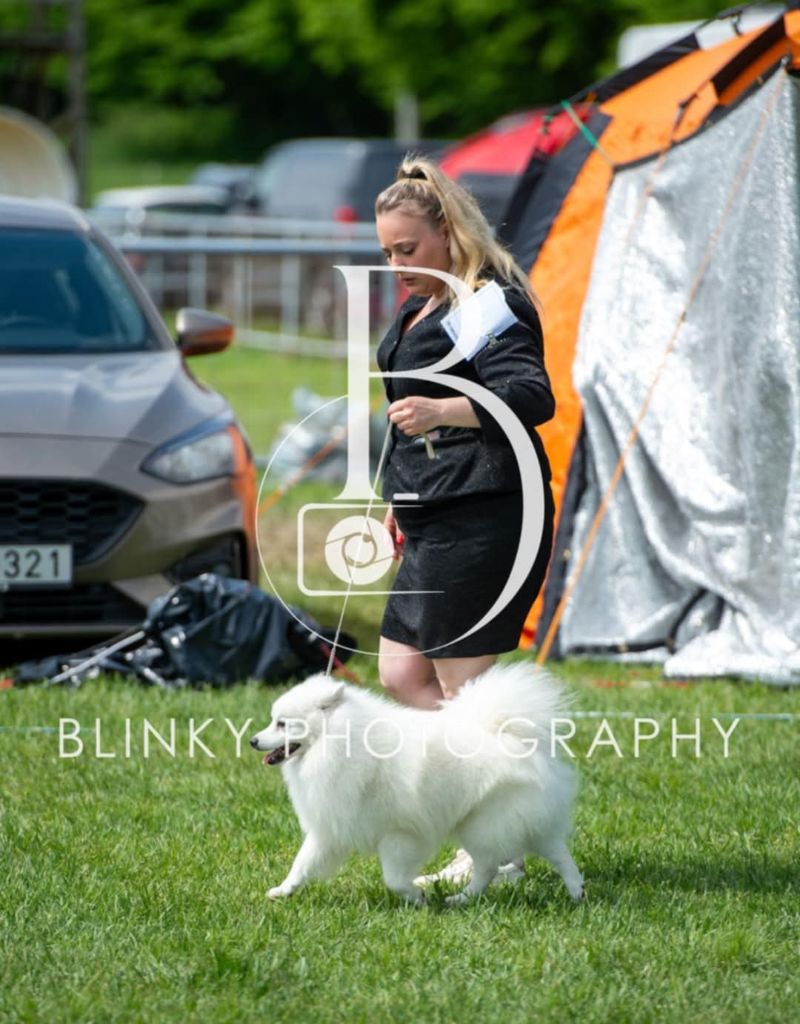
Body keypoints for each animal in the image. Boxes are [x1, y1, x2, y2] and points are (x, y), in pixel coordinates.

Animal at [250, 661, 583, 905]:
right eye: (272, 721)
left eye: (281, 724)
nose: (253, 740)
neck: (341, 744)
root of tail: (510, 732)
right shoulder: (331, 828)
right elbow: (302, 864)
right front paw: (283, 890)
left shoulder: (400, 834)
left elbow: (394, 879)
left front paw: (417, 897)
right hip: (502, 822)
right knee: (550, 850)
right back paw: (573, 890)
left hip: (485, 823)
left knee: (493, 864)